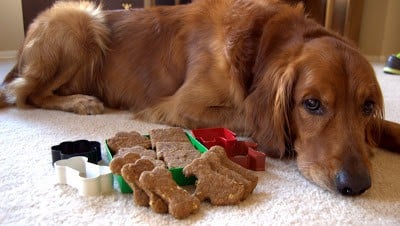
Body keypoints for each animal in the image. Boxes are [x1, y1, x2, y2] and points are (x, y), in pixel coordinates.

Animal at [0, 0, 400, 195]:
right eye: (312, 104)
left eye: (367, 107)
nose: (356, 185)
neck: (260, 44)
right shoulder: (180, 106)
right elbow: (245, 113)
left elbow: (386, 126)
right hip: (81, 20)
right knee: (26, 93)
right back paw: (81, 102)